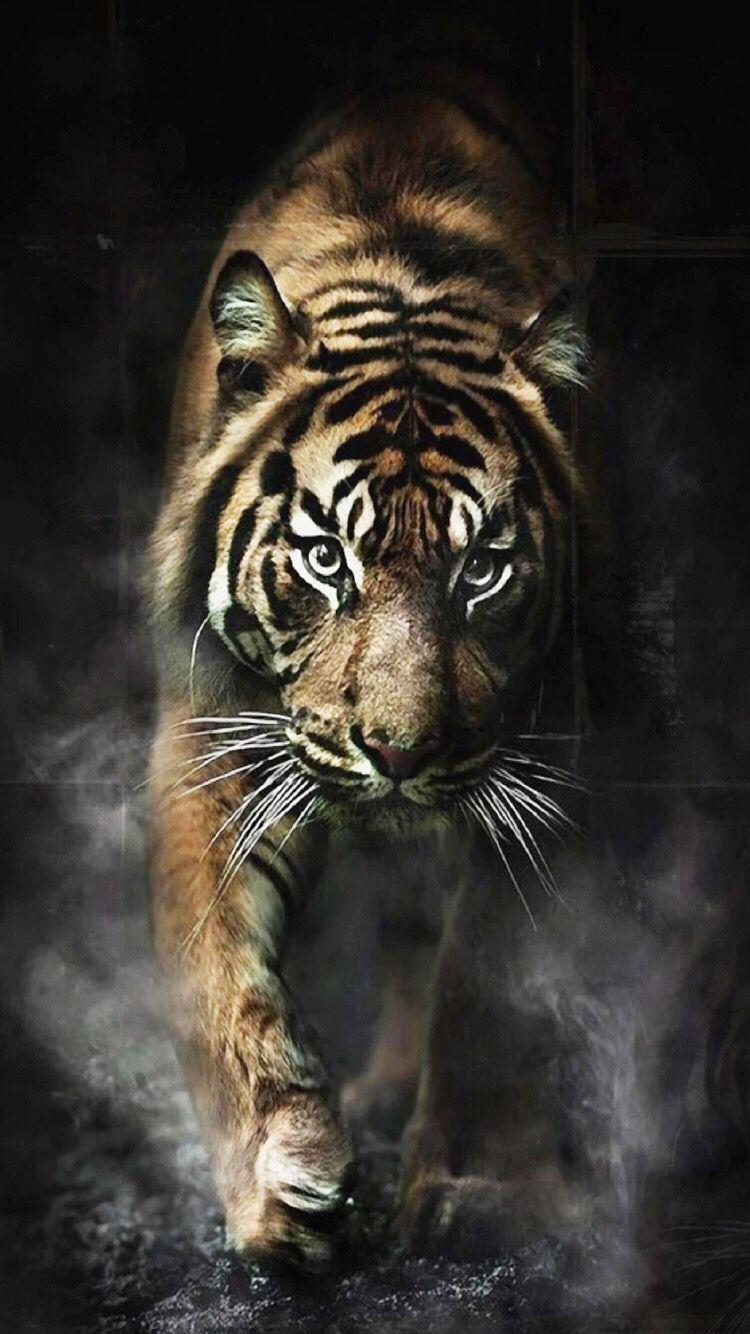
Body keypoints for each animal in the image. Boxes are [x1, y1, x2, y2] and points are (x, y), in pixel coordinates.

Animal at [144, 57, 724, 1293]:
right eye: (327, 556)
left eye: (484, 567)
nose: (399, 753)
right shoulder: (212, 735)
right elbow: (218, 973)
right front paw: (280, 1184)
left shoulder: (556, 754)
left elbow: (489, 983)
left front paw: (473, 1193)